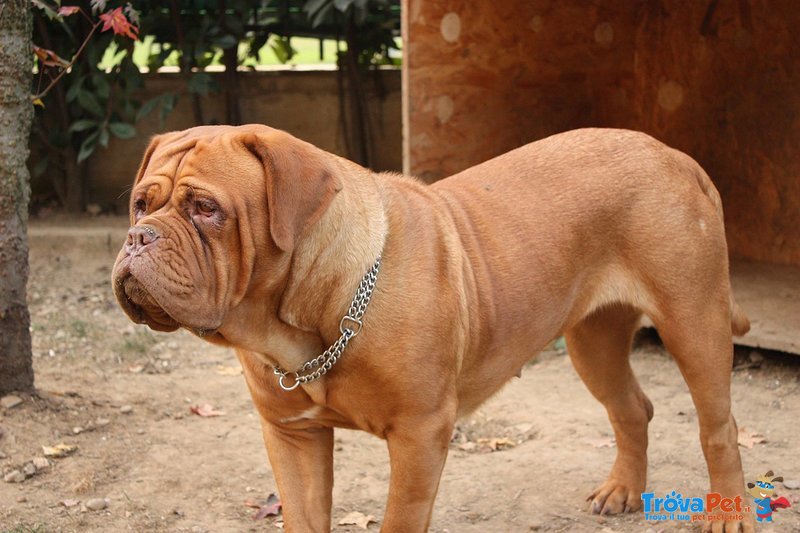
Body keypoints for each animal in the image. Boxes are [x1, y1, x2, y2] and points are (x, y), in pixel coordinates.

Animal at [112, 125, 756, 532]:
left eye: (207, 210)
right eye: (141, 204)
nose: (138, 237)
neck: (311, 321)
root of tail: (674, 154)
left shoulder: (420, 436)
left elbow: (399, 520)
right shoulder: (292, 435)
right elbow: (303, 514)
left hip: (692, 319)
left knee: (718, 426)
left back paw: (728, 514)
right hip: (593, 340)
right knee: (630, 409)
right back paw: (622, 490)